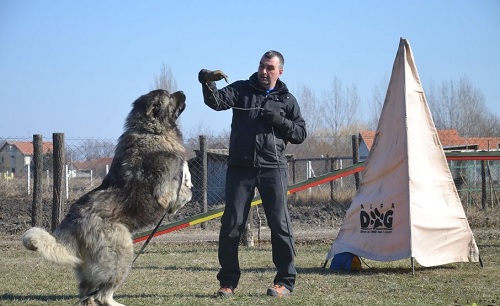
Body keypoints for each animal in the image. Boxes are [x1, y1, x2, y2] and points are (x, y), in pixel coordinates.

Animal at [21, 89, 191, 306]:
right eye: (169, 95)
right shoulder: (165, 192)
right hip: (122, 251)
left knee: (88, 294)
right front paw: (183, 193)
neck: (151, 131)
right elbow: (183, 192)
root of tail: (73, 221)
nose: (183, 92)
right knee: (102, 294)